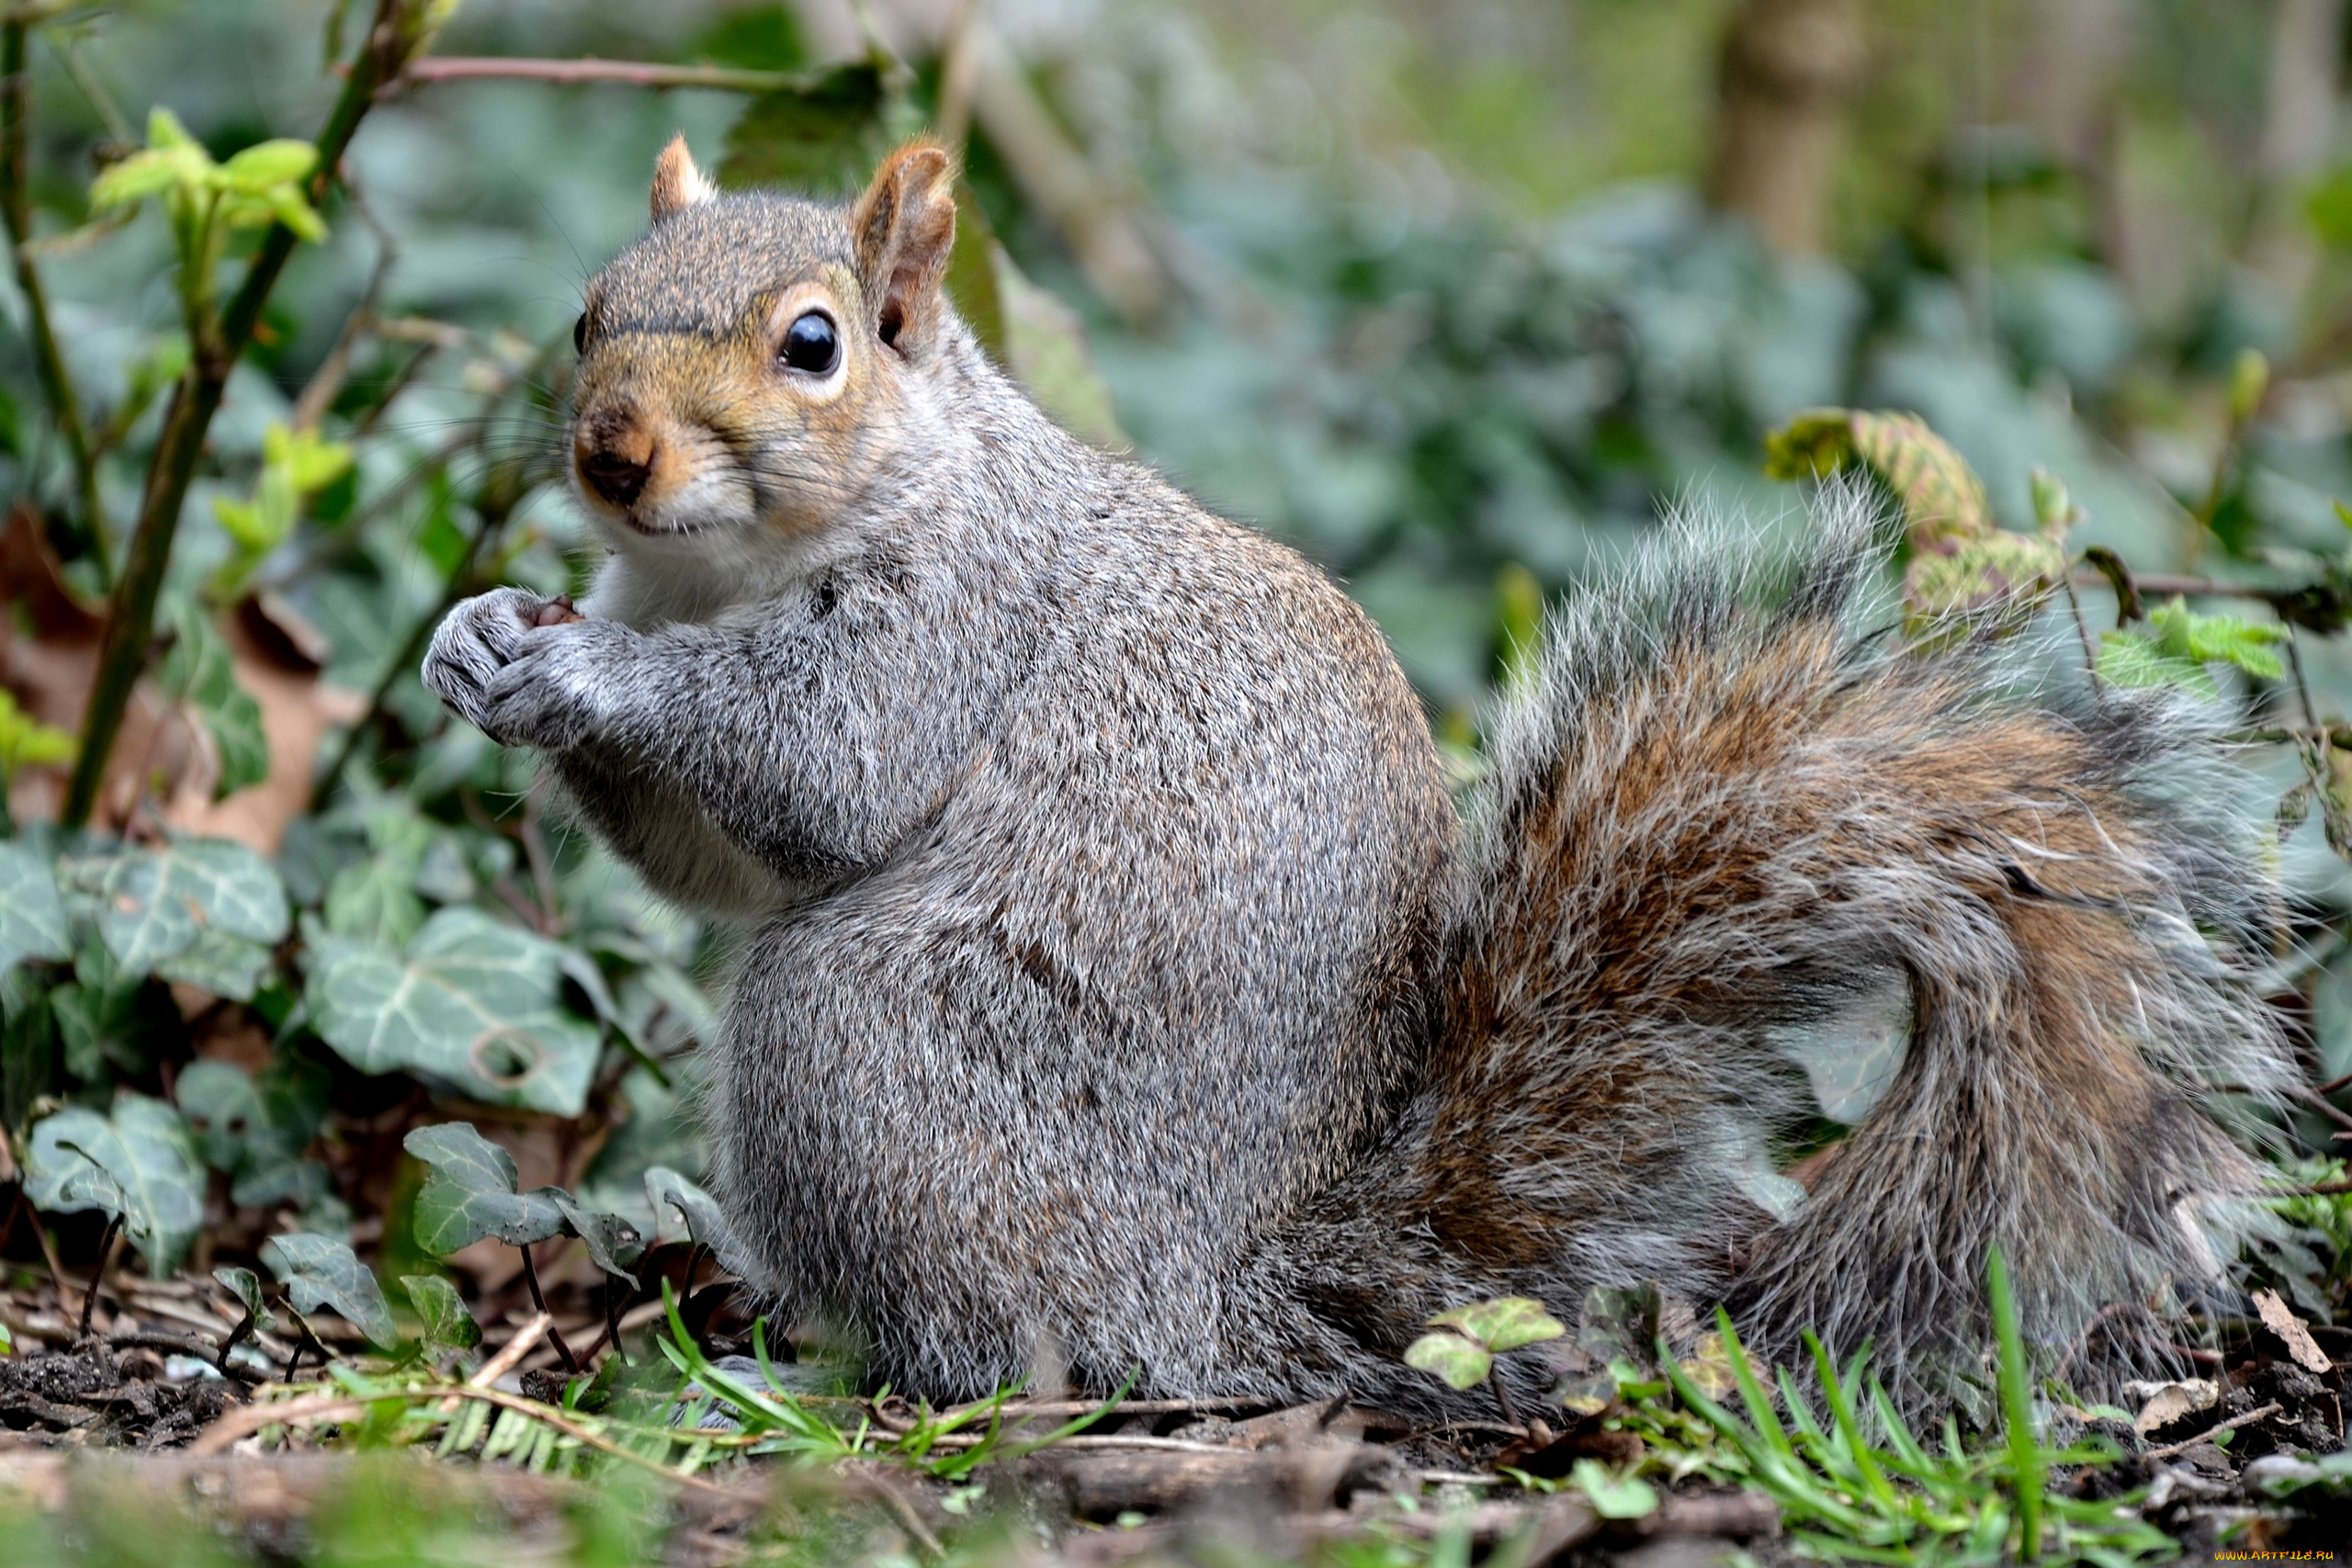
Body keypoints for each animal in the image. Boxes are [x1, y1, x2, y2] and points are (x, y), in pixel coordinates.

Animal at [423, 131, 2295, 1410]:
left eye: (813, 344)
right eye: (586, 313)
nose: (609, 451)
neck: (725, 574)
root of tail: (1223, 1284)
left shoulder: (952, 616)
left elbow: (823, 770)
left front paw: (583, 672)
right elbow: (709, 861)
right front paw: (476, 639)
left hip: (864, 1044)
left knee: (1023, 1334)